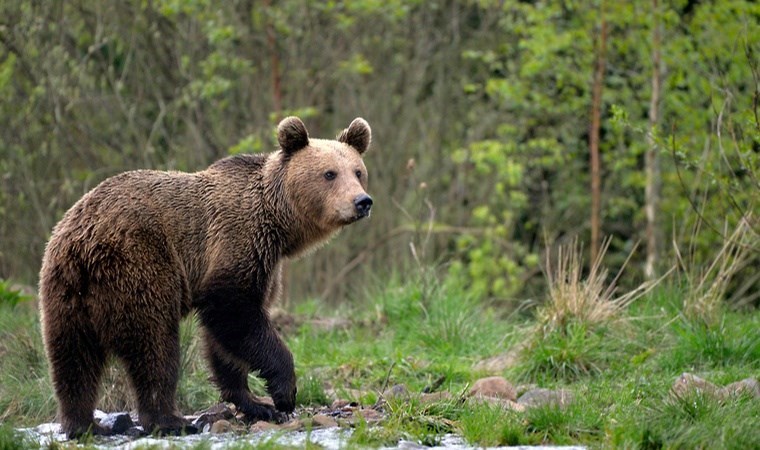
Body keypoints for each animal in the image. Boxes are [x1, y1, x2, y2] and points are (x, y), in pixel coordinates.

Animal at [37, 117, 372, 440]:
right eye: (329, 174)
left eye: (358, 172)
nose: (362, 201)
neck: (278, 223)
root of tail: (84, 242)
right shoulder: (237, 243)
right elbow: (234, 313)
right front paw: (283, 394)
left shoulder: (264, 262)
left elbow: (224, 340)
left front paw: (255, 403)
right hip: (139, 265)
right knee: (155, 345)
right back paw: (169, 419)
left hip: (65, 291)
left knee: (73, 359)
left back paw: (83, 424)